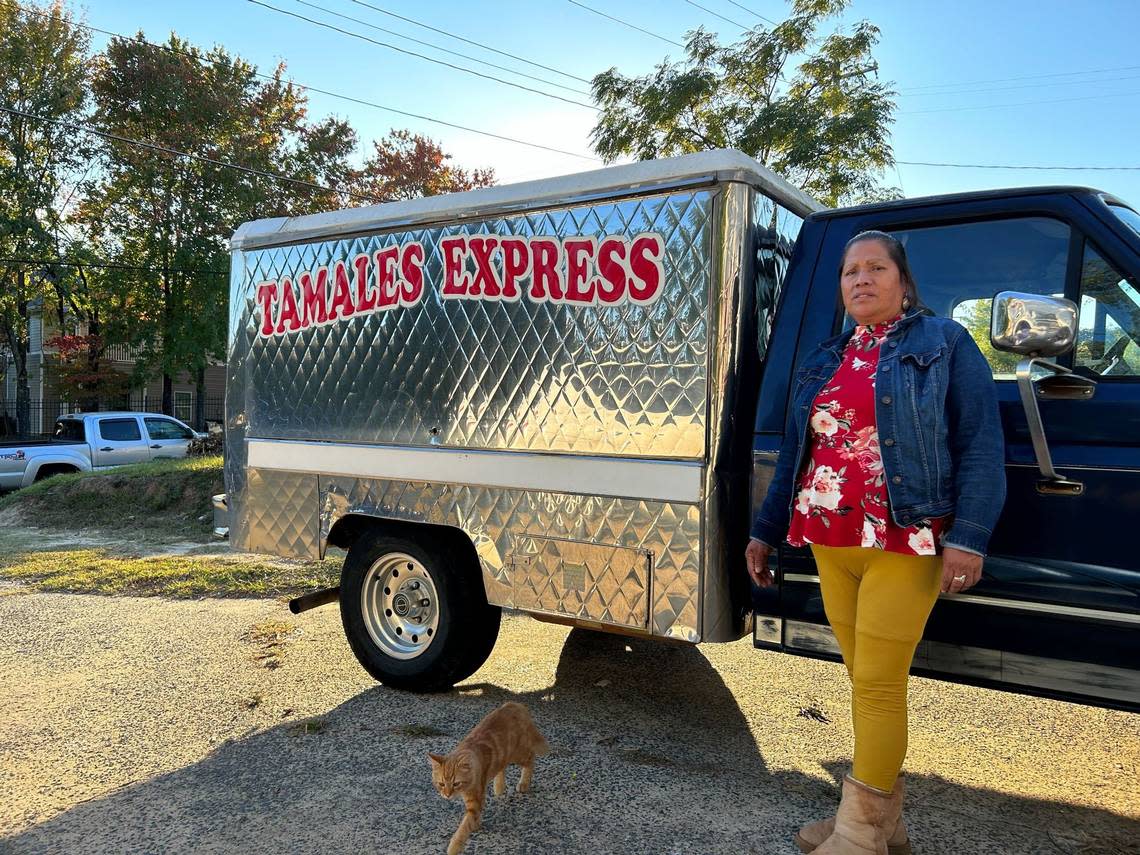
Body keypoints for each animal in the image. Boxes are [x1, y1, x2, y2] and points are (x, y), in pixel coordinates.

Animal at [428, 702, 549, 855]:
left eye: (456, 783)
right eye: (441, 784)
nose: (447, 795)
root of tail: (513, 704)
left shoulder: (475, 800)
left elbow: (464, 826)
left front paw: (454, 846)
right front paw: (476, 824)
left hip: (518, 754)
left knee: (530, 758)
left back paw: (524, 783)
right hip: (505, 755)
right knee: (502, 766)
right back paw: (499, 786)